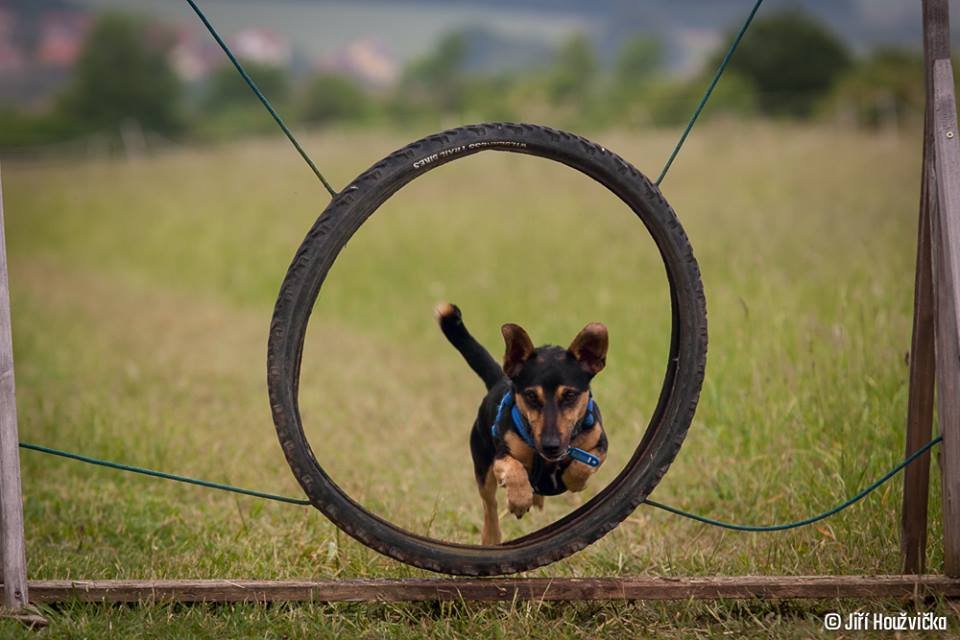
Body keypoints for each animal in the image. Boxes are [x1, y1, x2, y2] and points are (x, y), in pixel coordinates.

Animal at [436, 302, 608, 544]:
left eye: (570, 396)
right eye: (531, 396)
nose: (551, 445)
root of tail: (500, 378)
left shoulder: (599, 444)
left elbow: (583, 465)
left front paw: (573, 480)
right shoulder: (501, 455)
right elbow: (514, 469)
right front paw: (519, 500)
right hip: (483, 466)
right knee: (489, 505)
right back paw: (492, 535)